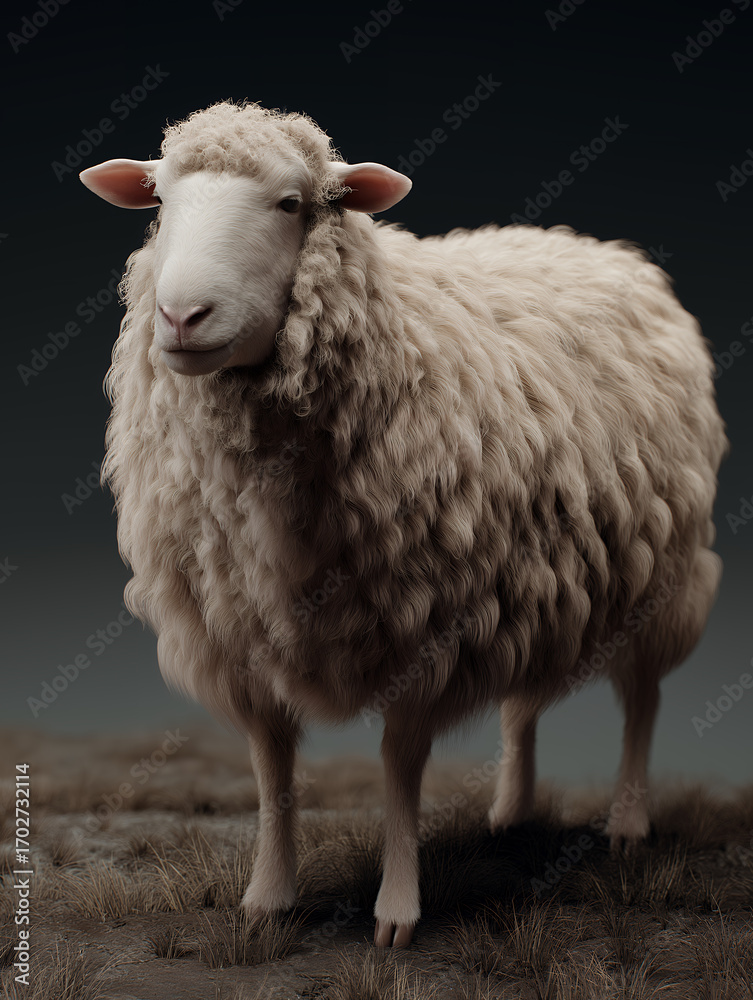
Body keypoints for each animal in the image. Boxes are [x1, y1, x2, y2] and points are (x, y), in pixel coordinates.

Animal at [79, 100, 727, 948]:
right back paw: (510, 812)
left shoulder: (426, 620)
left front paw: (396, 910)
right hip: (537, 573)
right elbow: (271, 763)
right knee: (523, 703)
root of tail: (595, 246)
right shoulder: (239, 629)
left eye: (292, 204)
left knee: (641, 700)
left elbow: (399, 766)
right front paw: (267, 897)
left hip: (658, 571)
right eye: (158, 201)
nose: (182, 316)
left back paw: (624, 824)